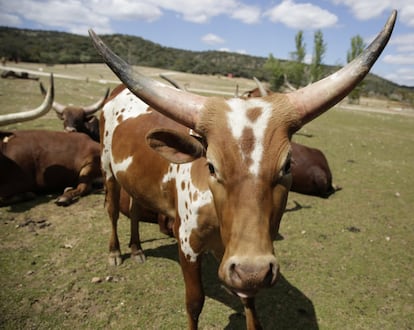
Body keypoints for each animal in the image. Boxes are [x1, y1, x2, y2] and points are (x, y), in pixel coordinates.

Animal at [90, 10, 394, 330]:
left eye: (288, 165)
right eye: (211, 166)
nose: (253, 270)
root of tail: (117, 92)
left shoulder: (237, 258)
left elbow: (250, 304)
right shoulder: (187, 244)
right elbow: (194, 302)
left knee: (135, 207)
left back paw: (136, 249)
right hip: (107, 167)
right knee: (112, 209)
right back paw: (116, 252)